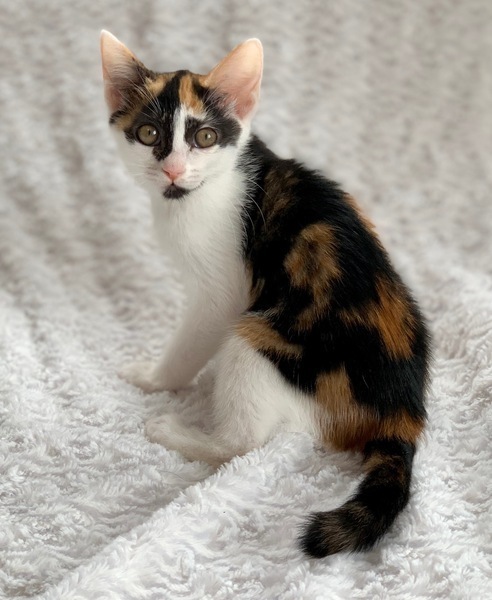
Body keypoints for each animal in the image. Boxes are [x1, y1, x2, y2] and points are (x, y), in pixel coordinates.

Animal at [100, 30, 430, 558]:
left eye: (204, 138)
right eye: (149, 134)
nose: (173, 170)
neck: (201, 192)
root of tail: (402, 411)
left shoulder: (223, 293)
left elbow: (192, 341)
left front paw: (154, 379)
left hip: (260, 338)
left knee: (244, 443)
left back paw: (179, 431)